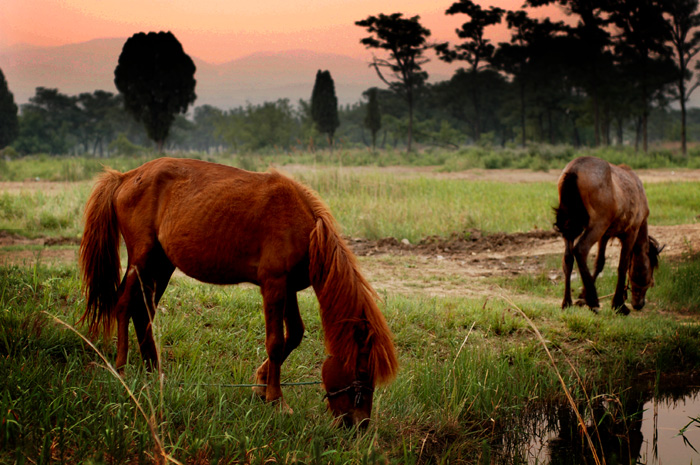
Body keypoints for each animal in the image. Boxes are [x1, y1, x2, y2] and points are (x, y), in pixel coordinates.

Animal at [79, 158, 396, 426]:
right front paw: (276, 399)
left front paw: (260, 384)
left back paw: (153, 372)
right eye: (363, 371)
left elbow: (294, 334)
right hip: (141, 259)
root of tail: (125, 177)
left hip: (161, 265)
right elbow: (276, 342)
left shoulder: (287, 288)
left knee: (144, 313)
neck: (305, 226)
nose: (360, 424)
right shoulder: (274, 285)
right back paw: (120, 368)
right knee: (123, 304)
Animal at [552, 157, 660, 316]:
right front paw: (618, 304)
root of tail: (574, 169)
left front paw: (582, 297)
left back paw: (567, 302)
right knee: (580, 250)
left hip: (570, 225)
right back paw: (593, 301)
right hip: (597, 224)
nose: (639, 304)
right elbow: (622, 265)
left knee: (568, 259)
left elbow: (600, 263)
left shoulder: (605, 235)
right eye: (650, 280)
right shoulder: (631, 232)